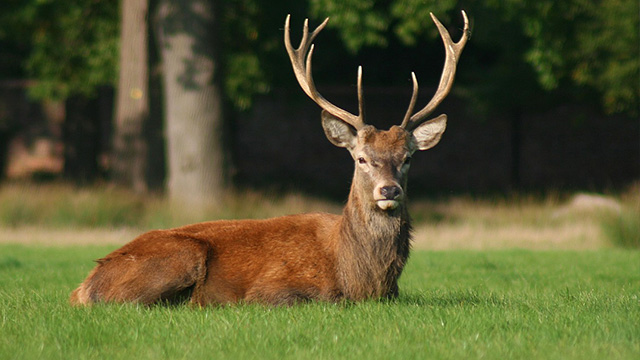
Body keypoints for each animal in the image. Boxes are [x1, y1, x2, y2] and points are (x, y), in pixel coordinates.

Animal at [70, 11, 470, 306]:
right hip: (180, 255)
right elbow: (316, 299)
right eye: (360, 158)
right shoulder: (272, 288)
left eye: (407, 158)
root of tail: (83, 286)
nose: (388, 191)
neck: (361, 278)